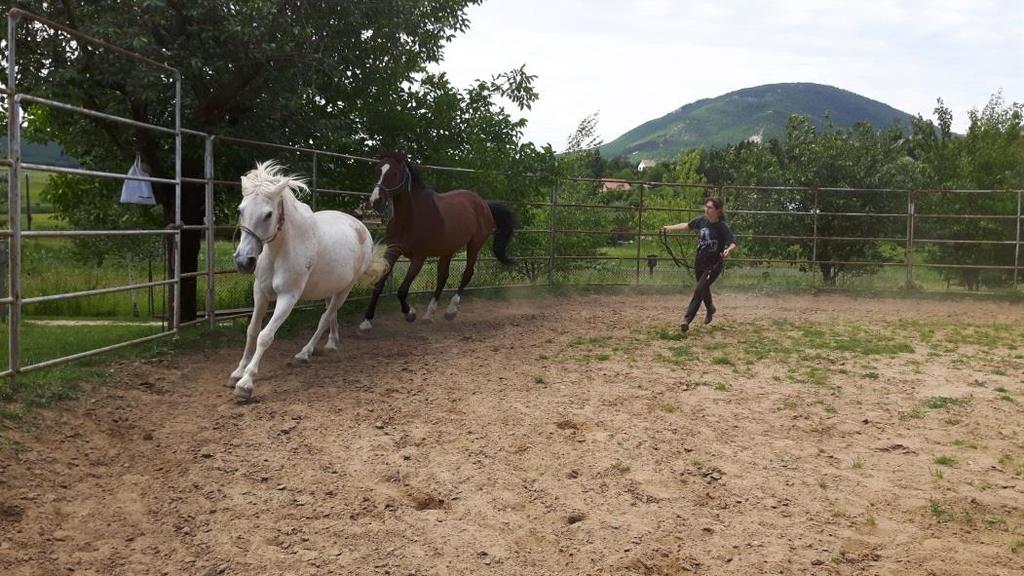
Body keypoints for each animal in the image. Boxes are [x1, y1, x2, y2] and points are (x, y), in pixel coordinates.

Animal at [230, 159, 385, 399]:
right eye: (240, 209)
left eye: (268, 214)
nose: (243, 261)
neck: (280, 250)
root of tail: (361, 227)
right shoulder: (260, 292)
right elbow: (252, 331)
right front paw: (238, 372)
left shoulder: (288, 297)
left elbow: (265, 336)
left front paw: (246, 383)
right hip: (331, 287)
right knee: (331, 315)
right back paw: (331, 344)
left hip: (345, 289)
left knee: (325, 317)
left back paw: (304, 353)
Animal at [362, 148, 520, 327]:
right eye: (377, 170)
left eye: (394, 172)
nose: (376, 201)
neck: (411, 217)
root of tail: (485, 204)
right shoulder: (393, 250)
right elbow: (379, 284)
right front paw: (366, 321)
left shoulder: (419, 257)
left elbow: (402, 290)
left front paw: (410, 314)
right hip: (447, 250)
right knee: (443, 278)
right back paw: (429, 314)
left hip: (474, 245)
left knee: (467, 273)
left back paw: (451, 311)